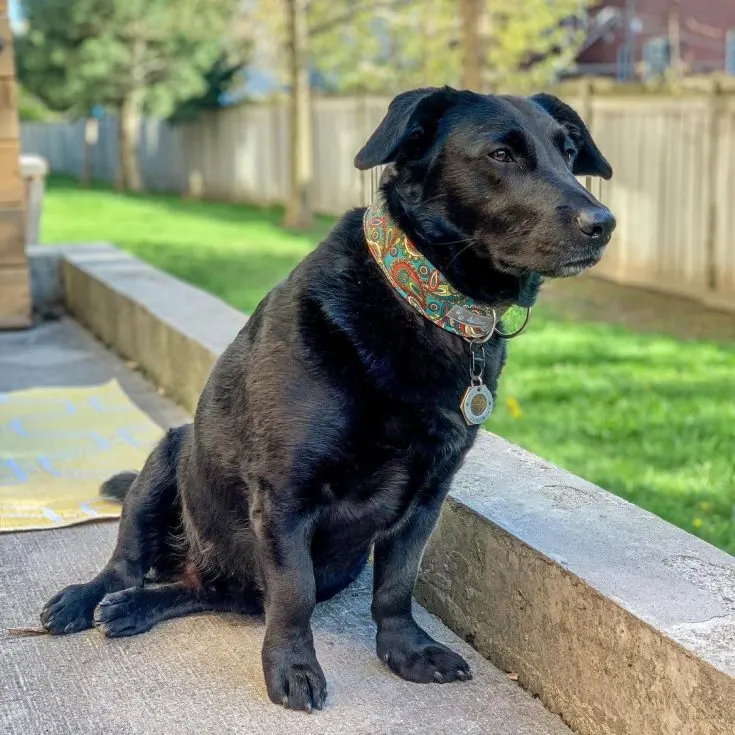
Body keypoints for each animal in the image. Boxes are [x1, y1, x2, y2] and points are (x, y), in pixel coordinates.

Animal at [40, 86, 616, 712]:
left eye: (567, 152)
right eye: (501, 155)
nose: (604, 223)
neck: (421, 300)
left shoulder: (427, 499)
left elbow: (395, 585)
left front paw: (406, 650)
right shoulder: (286, 496)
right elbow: (293, 593)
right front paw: (292, 667)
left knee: (211, 591)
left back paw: (138, 608)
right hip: (164, 460)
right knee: (128, 564)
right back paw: (87, 598)